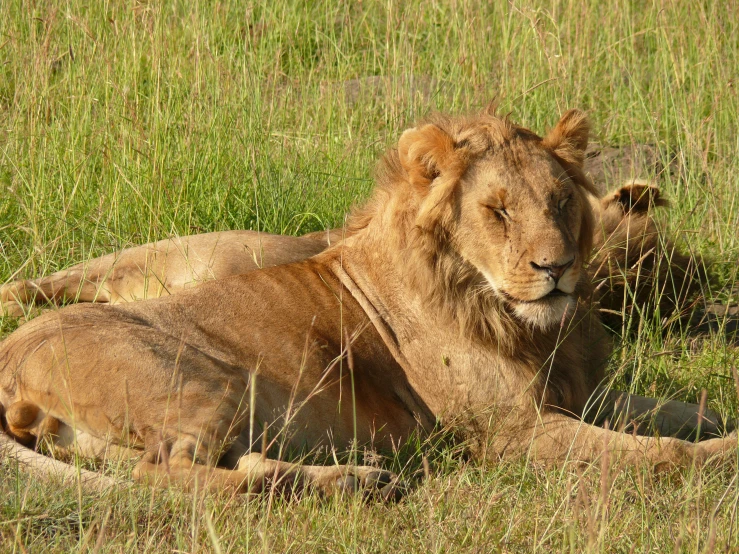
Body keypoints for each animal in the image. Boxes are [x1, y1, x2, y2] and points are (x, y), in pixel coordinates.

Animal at [0, 109, 736, 496]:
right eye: (497, 211)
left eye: (560, 203)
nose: (555, 269)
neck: (524, 321)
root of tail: (9, 362)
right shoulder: (512, 433)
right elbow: (662, 455)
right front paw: (720, 455)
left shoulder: (578, 394)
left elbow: (681, 411)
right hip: (202, 377)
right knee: (169, 472)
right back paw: (358, 482)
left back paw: (355, 476)